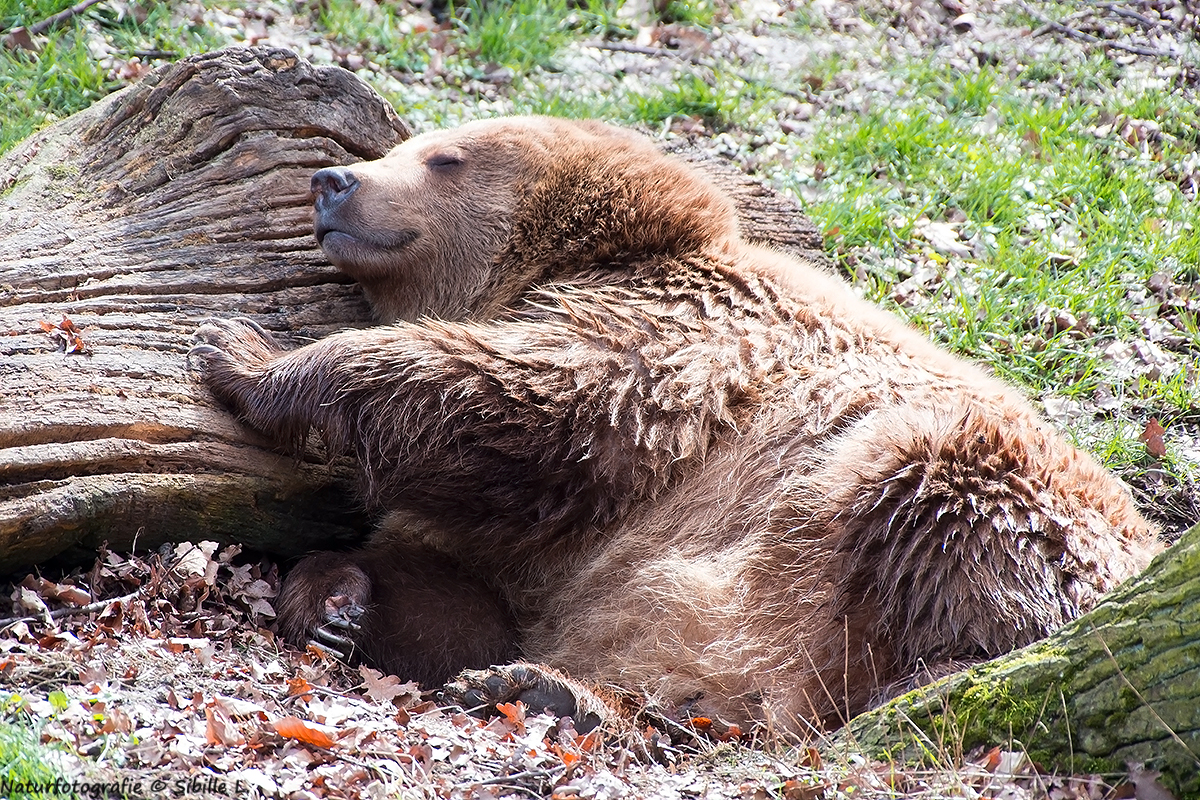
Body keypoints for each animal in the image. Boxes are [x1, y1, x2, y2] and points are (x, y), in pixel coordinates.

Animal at [189, 115, 1161, 734]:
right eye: (402, 146)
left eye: (445, 158)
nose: (332, 181)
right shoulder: (548, 540)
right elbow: (457, 593)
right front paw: (337, 601)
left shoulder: (664, 357)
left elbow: (508, 387)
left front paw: (242, 352)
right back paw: (550, 687)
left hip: (946, 496)